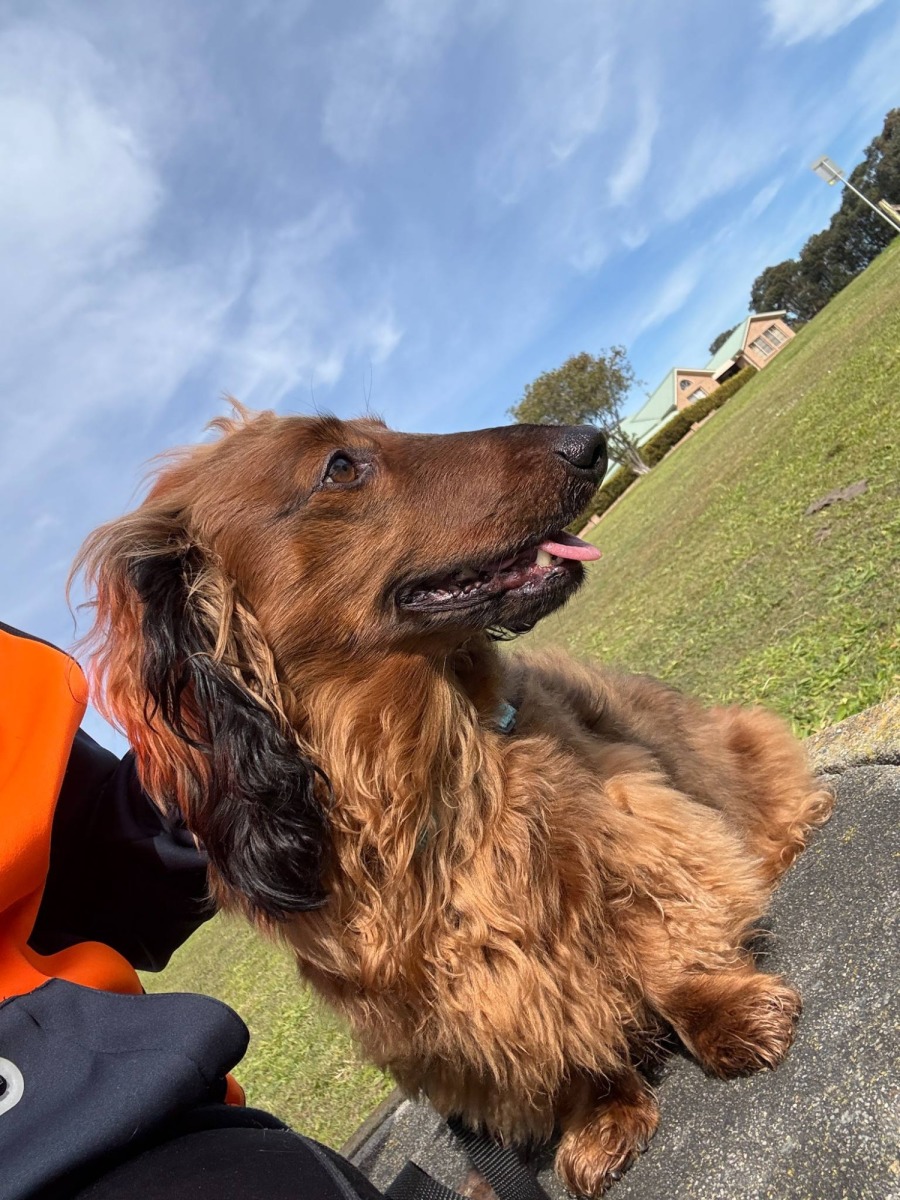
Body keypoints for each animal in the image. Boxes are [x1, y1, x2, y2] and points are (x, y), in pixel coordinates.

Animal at [74, 405, 832, 1195]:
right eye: (340, 466)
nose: (588, 443)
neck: (424, 776)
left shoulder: (629, 819)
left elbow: (660, 932)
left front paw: (723, 1010)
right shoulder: (437, 1005)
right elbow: (548, 1038)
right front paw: (600, 1110)